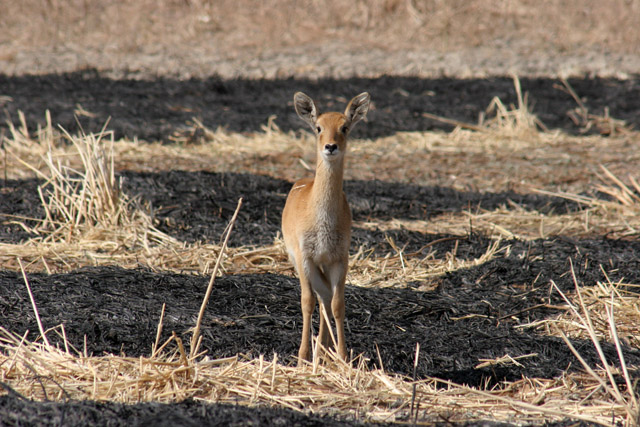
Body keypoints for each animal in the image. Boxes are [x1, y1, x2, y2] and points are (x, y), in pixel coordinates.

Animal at [282, 91, 371, 364]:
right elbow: (307, 301)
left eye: (345, 127)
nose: (330, 146)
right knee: (319, 298)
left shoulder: (340, 258)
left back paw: (324, 349)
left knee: (326, 299)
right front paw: (302, 357)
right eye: (318, 127)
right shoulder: (304, 257)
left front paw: (342, 355)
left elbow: (338, 304)